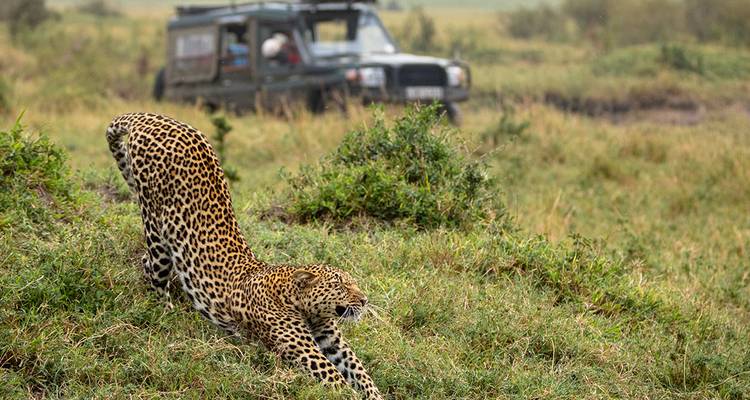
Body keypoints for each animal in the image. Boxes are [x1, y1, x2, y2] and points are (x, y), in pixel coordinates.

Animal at [106, 112, 382, 399]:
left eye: (353, 283)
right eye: (340, 285)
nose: (365, 300)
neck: (302, 304)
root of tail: (152, 117)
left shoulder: (333, 340)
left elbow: (360, 372)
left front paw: (375, 393)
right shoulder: (302, 349)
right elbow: (338, 381)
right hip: (156, 230)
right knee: (153, 271)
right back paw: (165, 314)